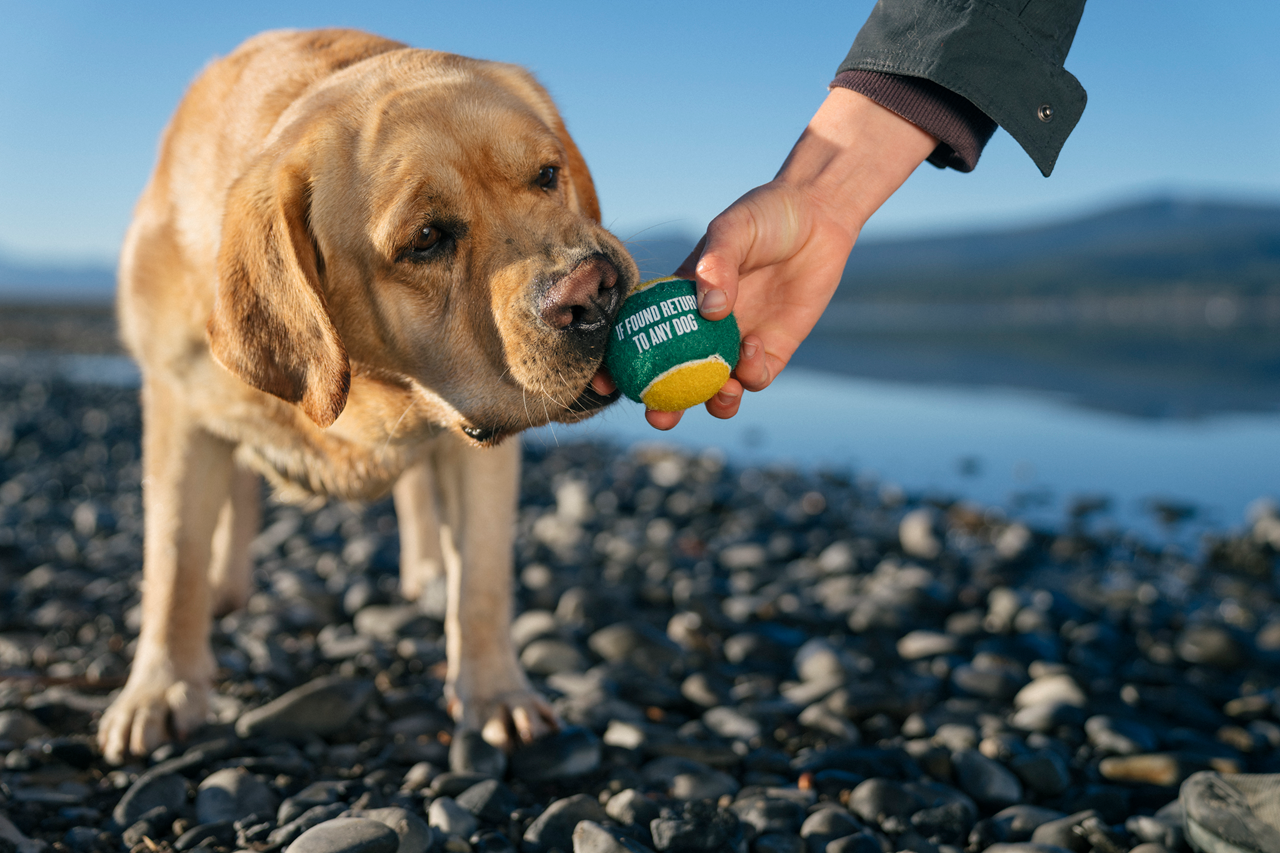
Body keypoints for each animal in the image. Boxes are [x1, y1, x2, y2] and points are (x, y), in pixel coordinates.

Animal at [97, 26, 637, 758]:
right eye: (427, 239)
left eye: (548, 176)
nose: (594, 290)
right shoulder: (177, 404)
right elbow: (174, 560)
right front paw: (160, 690)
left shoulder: (481, 450)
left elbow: (483, 577)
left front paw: (496, 692)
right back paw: (226, 586)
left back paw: (430, 572)